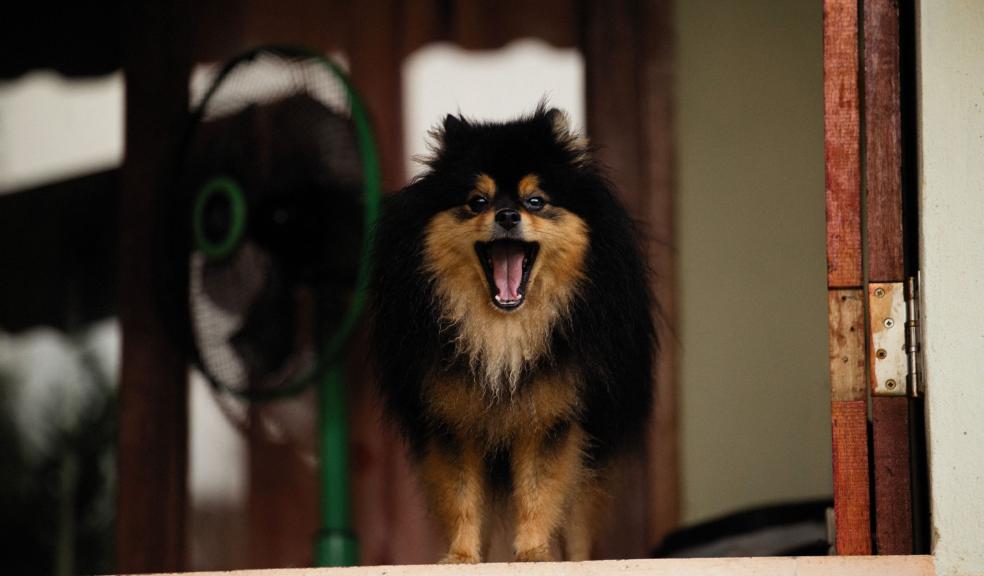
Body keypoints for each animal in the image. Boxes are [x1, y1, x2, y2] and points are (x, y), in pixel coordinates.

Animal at [368, 104, 652, 564]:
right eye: (477, 202)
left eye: (535, 200)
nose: (506, 215)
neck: (502, 332)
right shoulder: (453, 419)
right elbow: (462, 498)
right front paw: (461, 557)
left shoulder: (551, 417)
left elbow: (540, 492)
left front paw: (534, 553)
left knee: (578, 515)